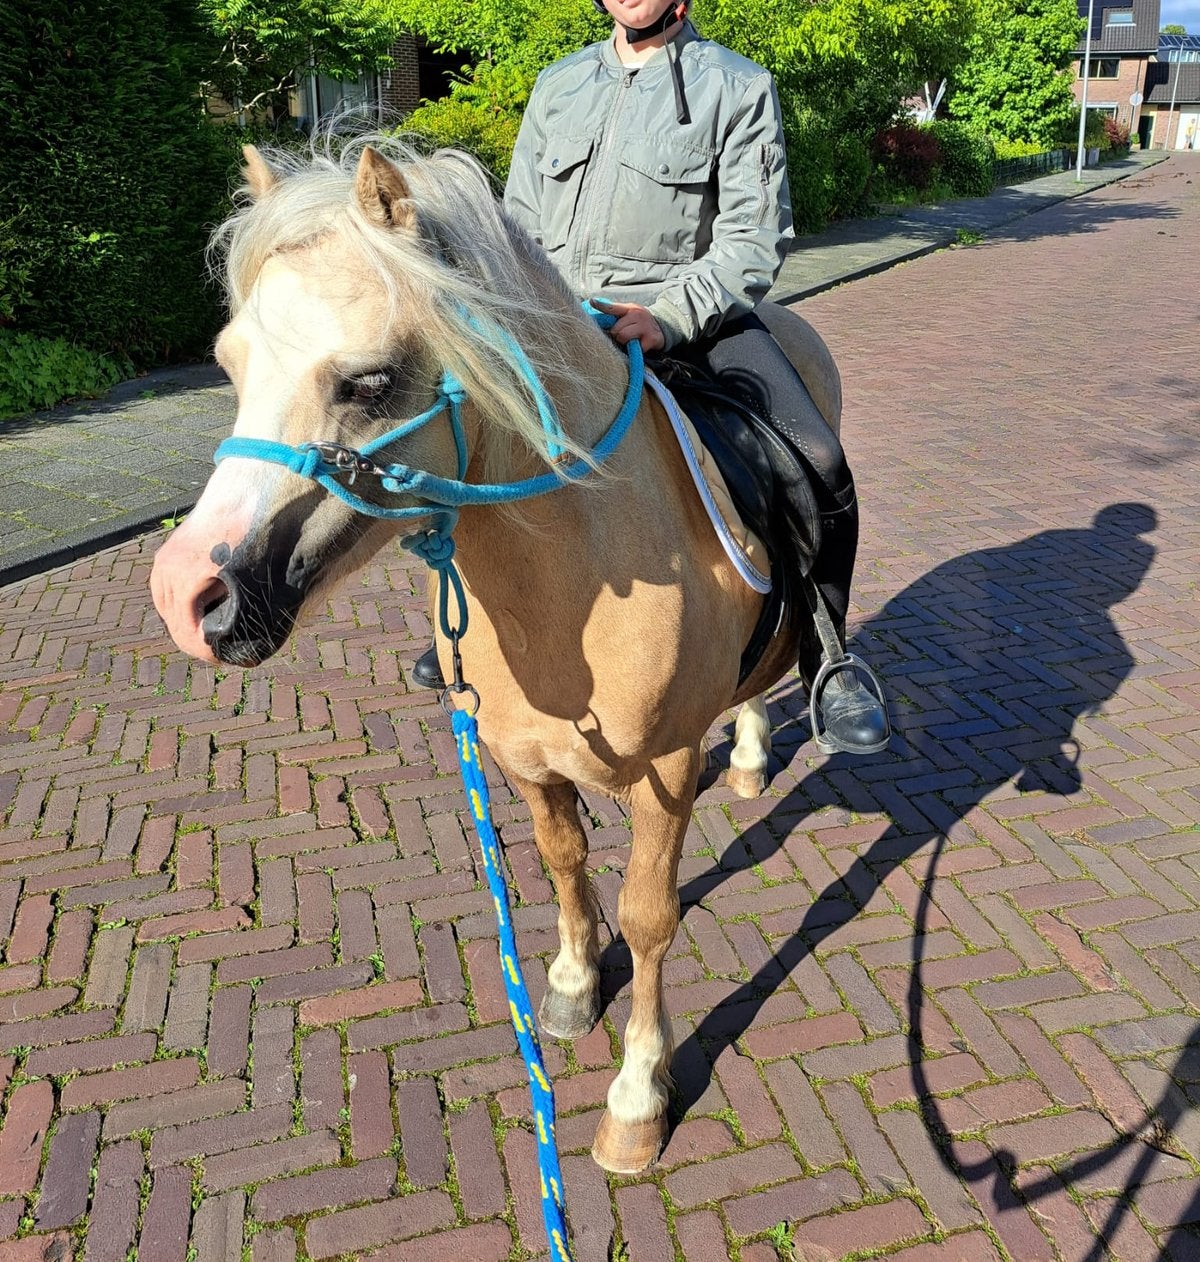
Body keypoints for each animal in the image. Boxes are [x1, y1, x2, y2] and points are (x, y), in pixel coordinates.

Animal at [150, 136, 846, 1175]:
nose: (186, 594)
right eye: (231, 365)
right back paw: (756, 756)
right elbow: (561, 861)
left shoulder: (667, 771)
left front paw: (637, 1101)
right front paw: (569, 984)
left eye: (369, 381)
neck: (575, 587)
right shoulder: (519, 756)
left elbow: (649, 917)